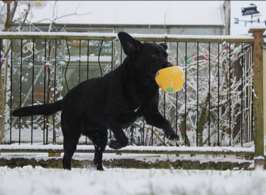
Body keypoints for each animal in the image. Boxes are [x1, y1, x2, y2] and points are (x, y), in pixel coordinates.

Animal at [12, 32, 179, 171]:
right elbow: (124, 139)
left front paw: (172, 134)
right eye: (153, 56)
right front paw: (115, 144)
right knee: (67, 157)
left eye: (165, 55)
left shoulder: (151, 114)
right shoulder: (112, 119)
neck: (140, 85)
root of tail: (66, 99)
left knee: (97, 156)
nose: (171, 66)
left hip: (99, 136)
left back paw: (100, 170)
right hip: (72, 134)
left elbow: (165, 122)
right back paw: (68, 172)